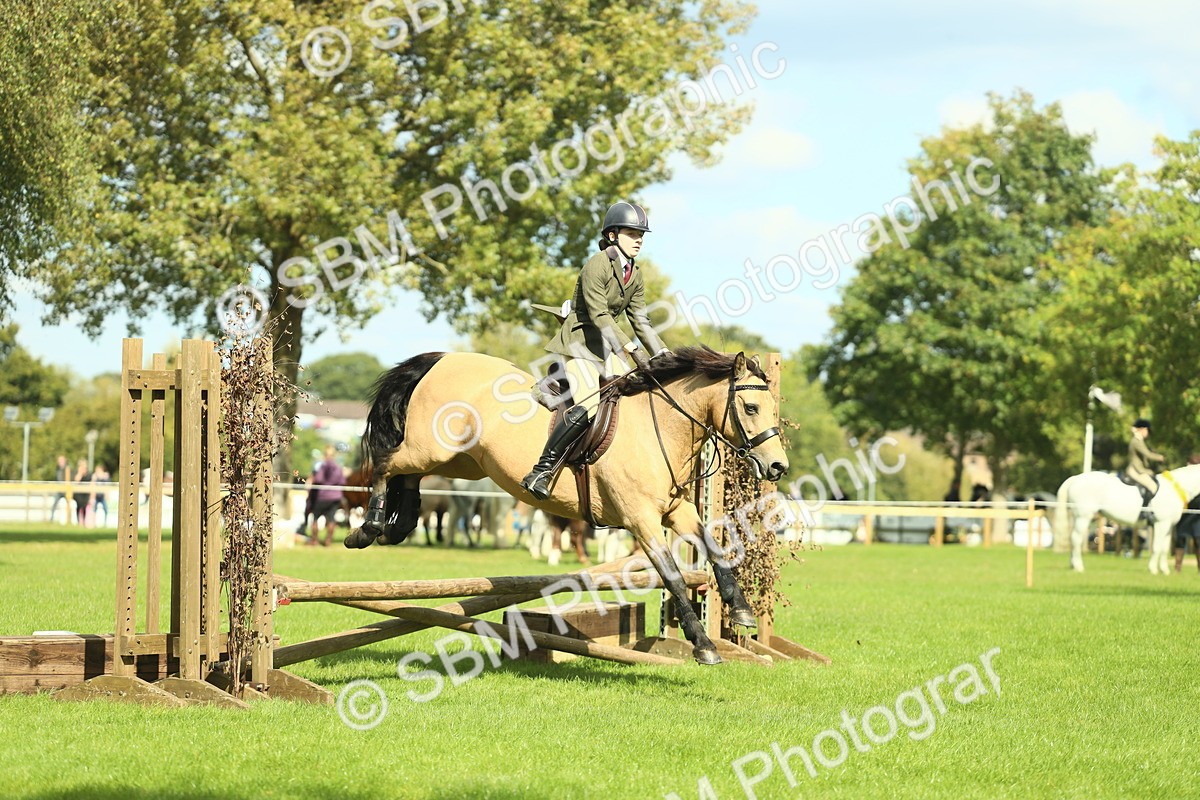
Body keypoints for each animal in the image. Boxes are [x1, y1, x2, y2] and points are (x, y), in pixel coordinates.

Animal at [344, 346, 788, 665]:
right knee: (385, 462)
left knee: (408, 474)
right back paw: (367, 530)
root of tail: (443, 358)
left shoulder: (677, 511)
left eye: (772, 408)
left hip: (460, 461)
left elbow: (715, 552)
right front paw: (703, 645)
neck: (660, 428)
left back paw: (399, 525)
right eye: (750, 408)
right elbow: (675, 578)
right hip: (432, 448)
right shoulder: (642, 521)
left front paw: (742, 612)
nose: (777, 466)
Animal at [1054, 464, 1200, 574]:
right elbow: (1157, 547)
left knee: (1073, 539)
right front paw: (1153, 569)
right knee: (1076, 539)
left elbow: (1163, 549)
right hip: (1083, 517)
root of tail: (1075, 478)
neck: (1174, 489)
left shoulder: (1168, 527)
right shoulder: (1161, 524)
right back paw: (1078, 566)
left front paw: (1164, 570)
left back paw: (1073, 565)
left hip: (1078, 517)